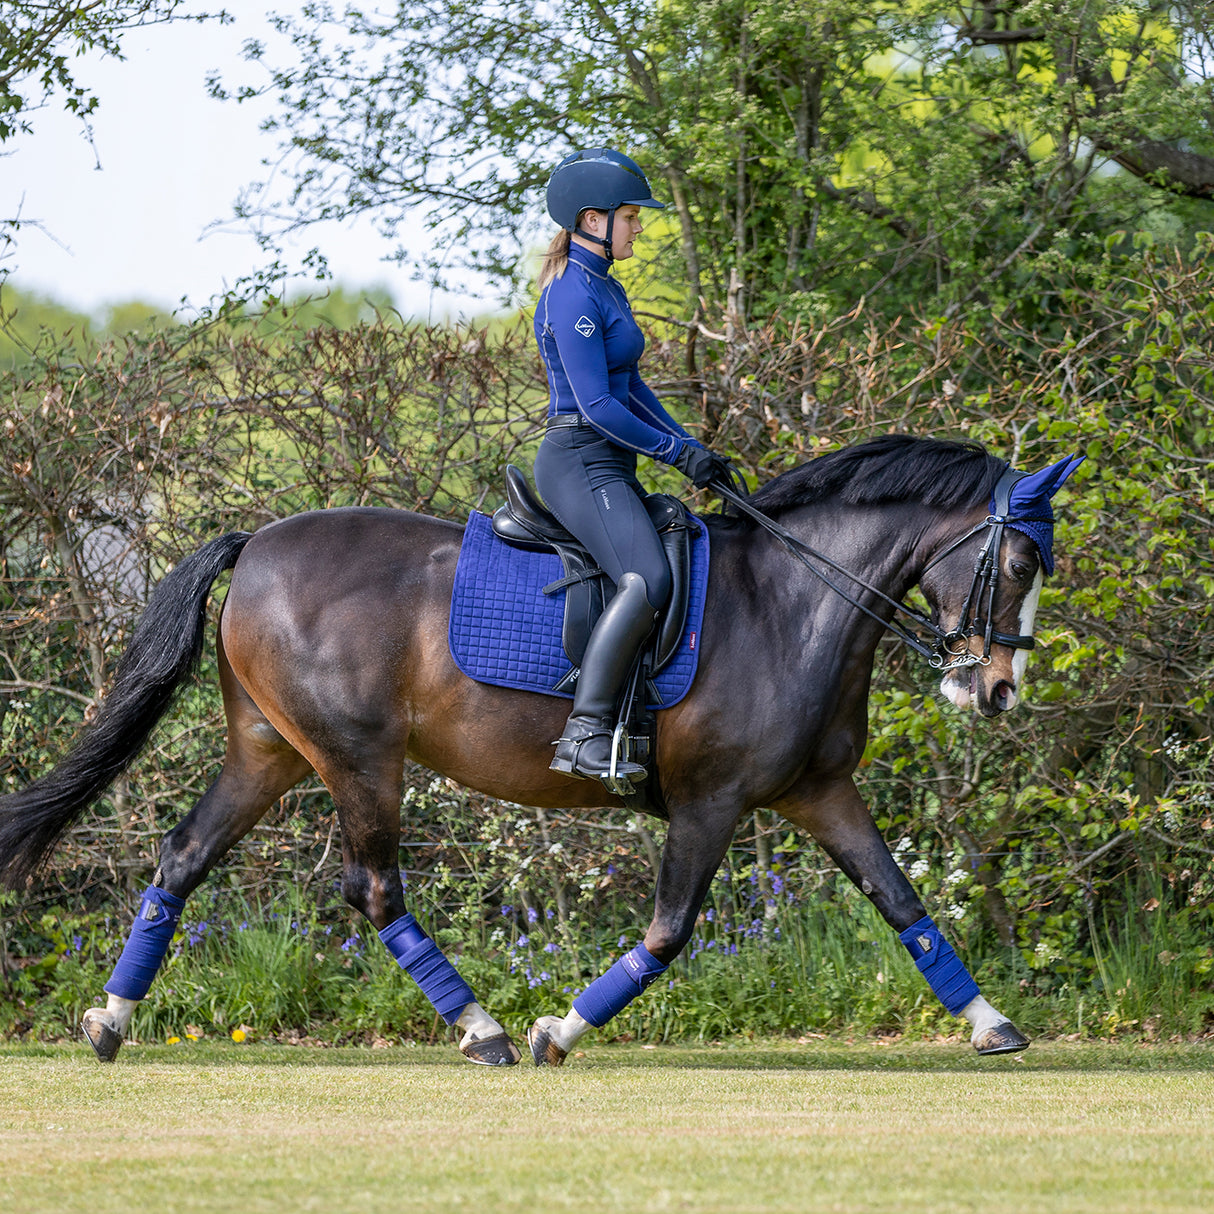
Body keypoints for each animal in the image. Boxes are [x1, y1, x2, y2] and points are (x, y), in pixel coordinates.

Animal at [0, 434, 1082, 1063]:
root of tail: (256, 542)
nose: (994, 689)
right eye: (1019, 560)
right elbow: (667, 932)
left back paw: (109, 1021)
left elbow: (903, 904)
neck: (794, 601)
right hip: (358, 756)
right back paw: (482, 1030)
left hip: (268, 750)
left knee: (182, 858)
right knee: (374, 889)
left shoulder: (820, 792)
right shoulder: (710, 800)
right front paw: (559, 1028)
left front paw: (991, 1024)